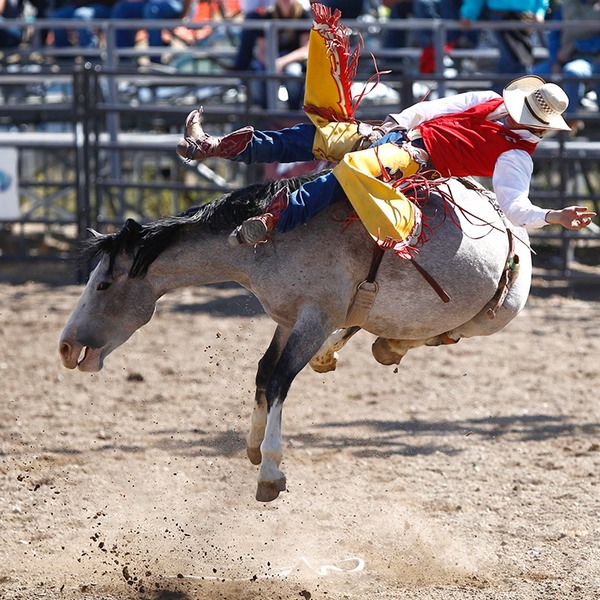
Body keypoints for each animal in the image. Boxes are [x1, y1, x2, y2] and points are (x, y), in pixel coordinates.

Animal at [58, 172, 532, 502]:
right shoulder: (287, 320)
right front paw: (252, 444)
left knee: (451, 330)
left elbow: (281, 379)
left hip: (501, 311)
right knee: (388, 330)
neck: (266, 238)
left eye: (103, 285)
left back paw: (382, 346)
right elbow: (263, 373)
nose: (66, 347)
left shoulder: (314, 318)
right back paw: (365, 347)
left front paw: (270, 470)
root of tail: (505, 215)